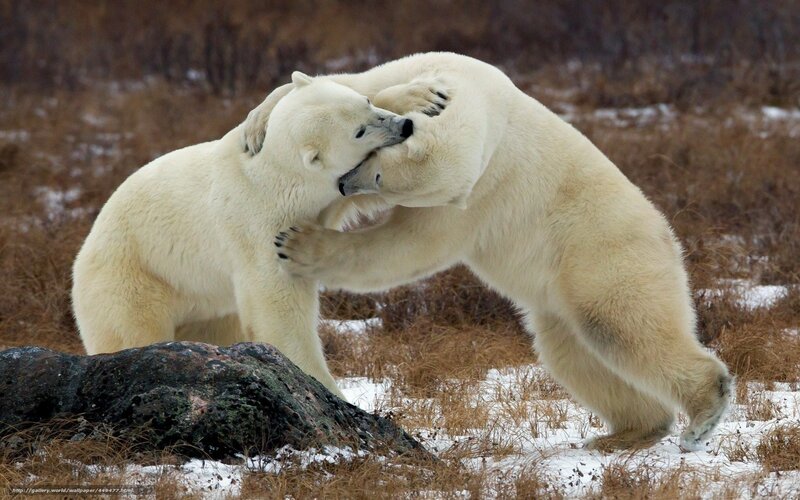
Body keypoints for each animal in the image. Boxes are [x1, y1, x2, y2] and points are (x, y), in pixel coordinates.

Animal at [71, 71, 419, 399]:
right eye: (359, 132)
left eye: (366, 102)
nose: (404, 126)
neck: (279, 176)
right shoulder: (260, 224)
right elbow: (278, 304)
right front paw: (324, 385)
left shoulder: (331, 197)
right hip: (132, 280)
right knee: (130, 331)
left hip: (205, 304)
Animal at [243, 52, 732, 451]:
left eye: (379, 176)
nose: (346, 185)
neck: (484, 96)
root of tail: (670, 237)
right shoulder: (432, 68)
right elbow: (355, 82)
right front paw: (257, 124)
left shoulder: (477, 189)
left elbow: (411, 245)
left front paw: (298, 244)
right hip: (568, 288)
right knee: (574, 353)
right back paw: (629, 432)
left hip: (604, 255)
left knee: (623, 328)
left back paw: (702, 415)